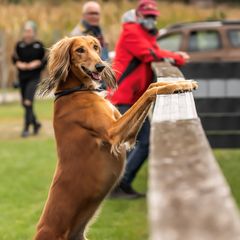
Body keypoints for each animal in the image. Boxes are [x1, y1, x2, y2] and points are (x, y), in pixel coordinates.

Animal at [34, 36, 198, 240]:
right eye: (80, 50)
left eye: (95, 47)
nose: (100, 66)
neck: (77, 91)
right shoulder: (114, 132)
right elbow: (148, 93)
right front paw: (179, 85)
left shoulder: (127, 133)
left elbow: (151, 87)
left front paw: (177, 84)